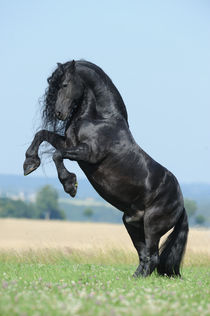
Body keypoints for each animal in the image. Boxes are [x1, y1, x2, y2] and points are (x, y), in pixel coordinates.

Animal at [23, 59, 189, 276]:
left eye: (65, 84)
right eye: (53, 85)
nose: (59, 113)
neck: (100, 119)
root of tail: (181, 204)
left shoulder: (88, 153)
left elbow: (57, 154)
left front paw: (70, 185)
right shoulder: (68, 143)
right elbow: (41, 134)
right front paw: (29, 164)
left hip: (152, 225)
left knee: (153, 256)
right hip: (131, 222)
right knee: (144, 256)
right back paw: (135, 279)